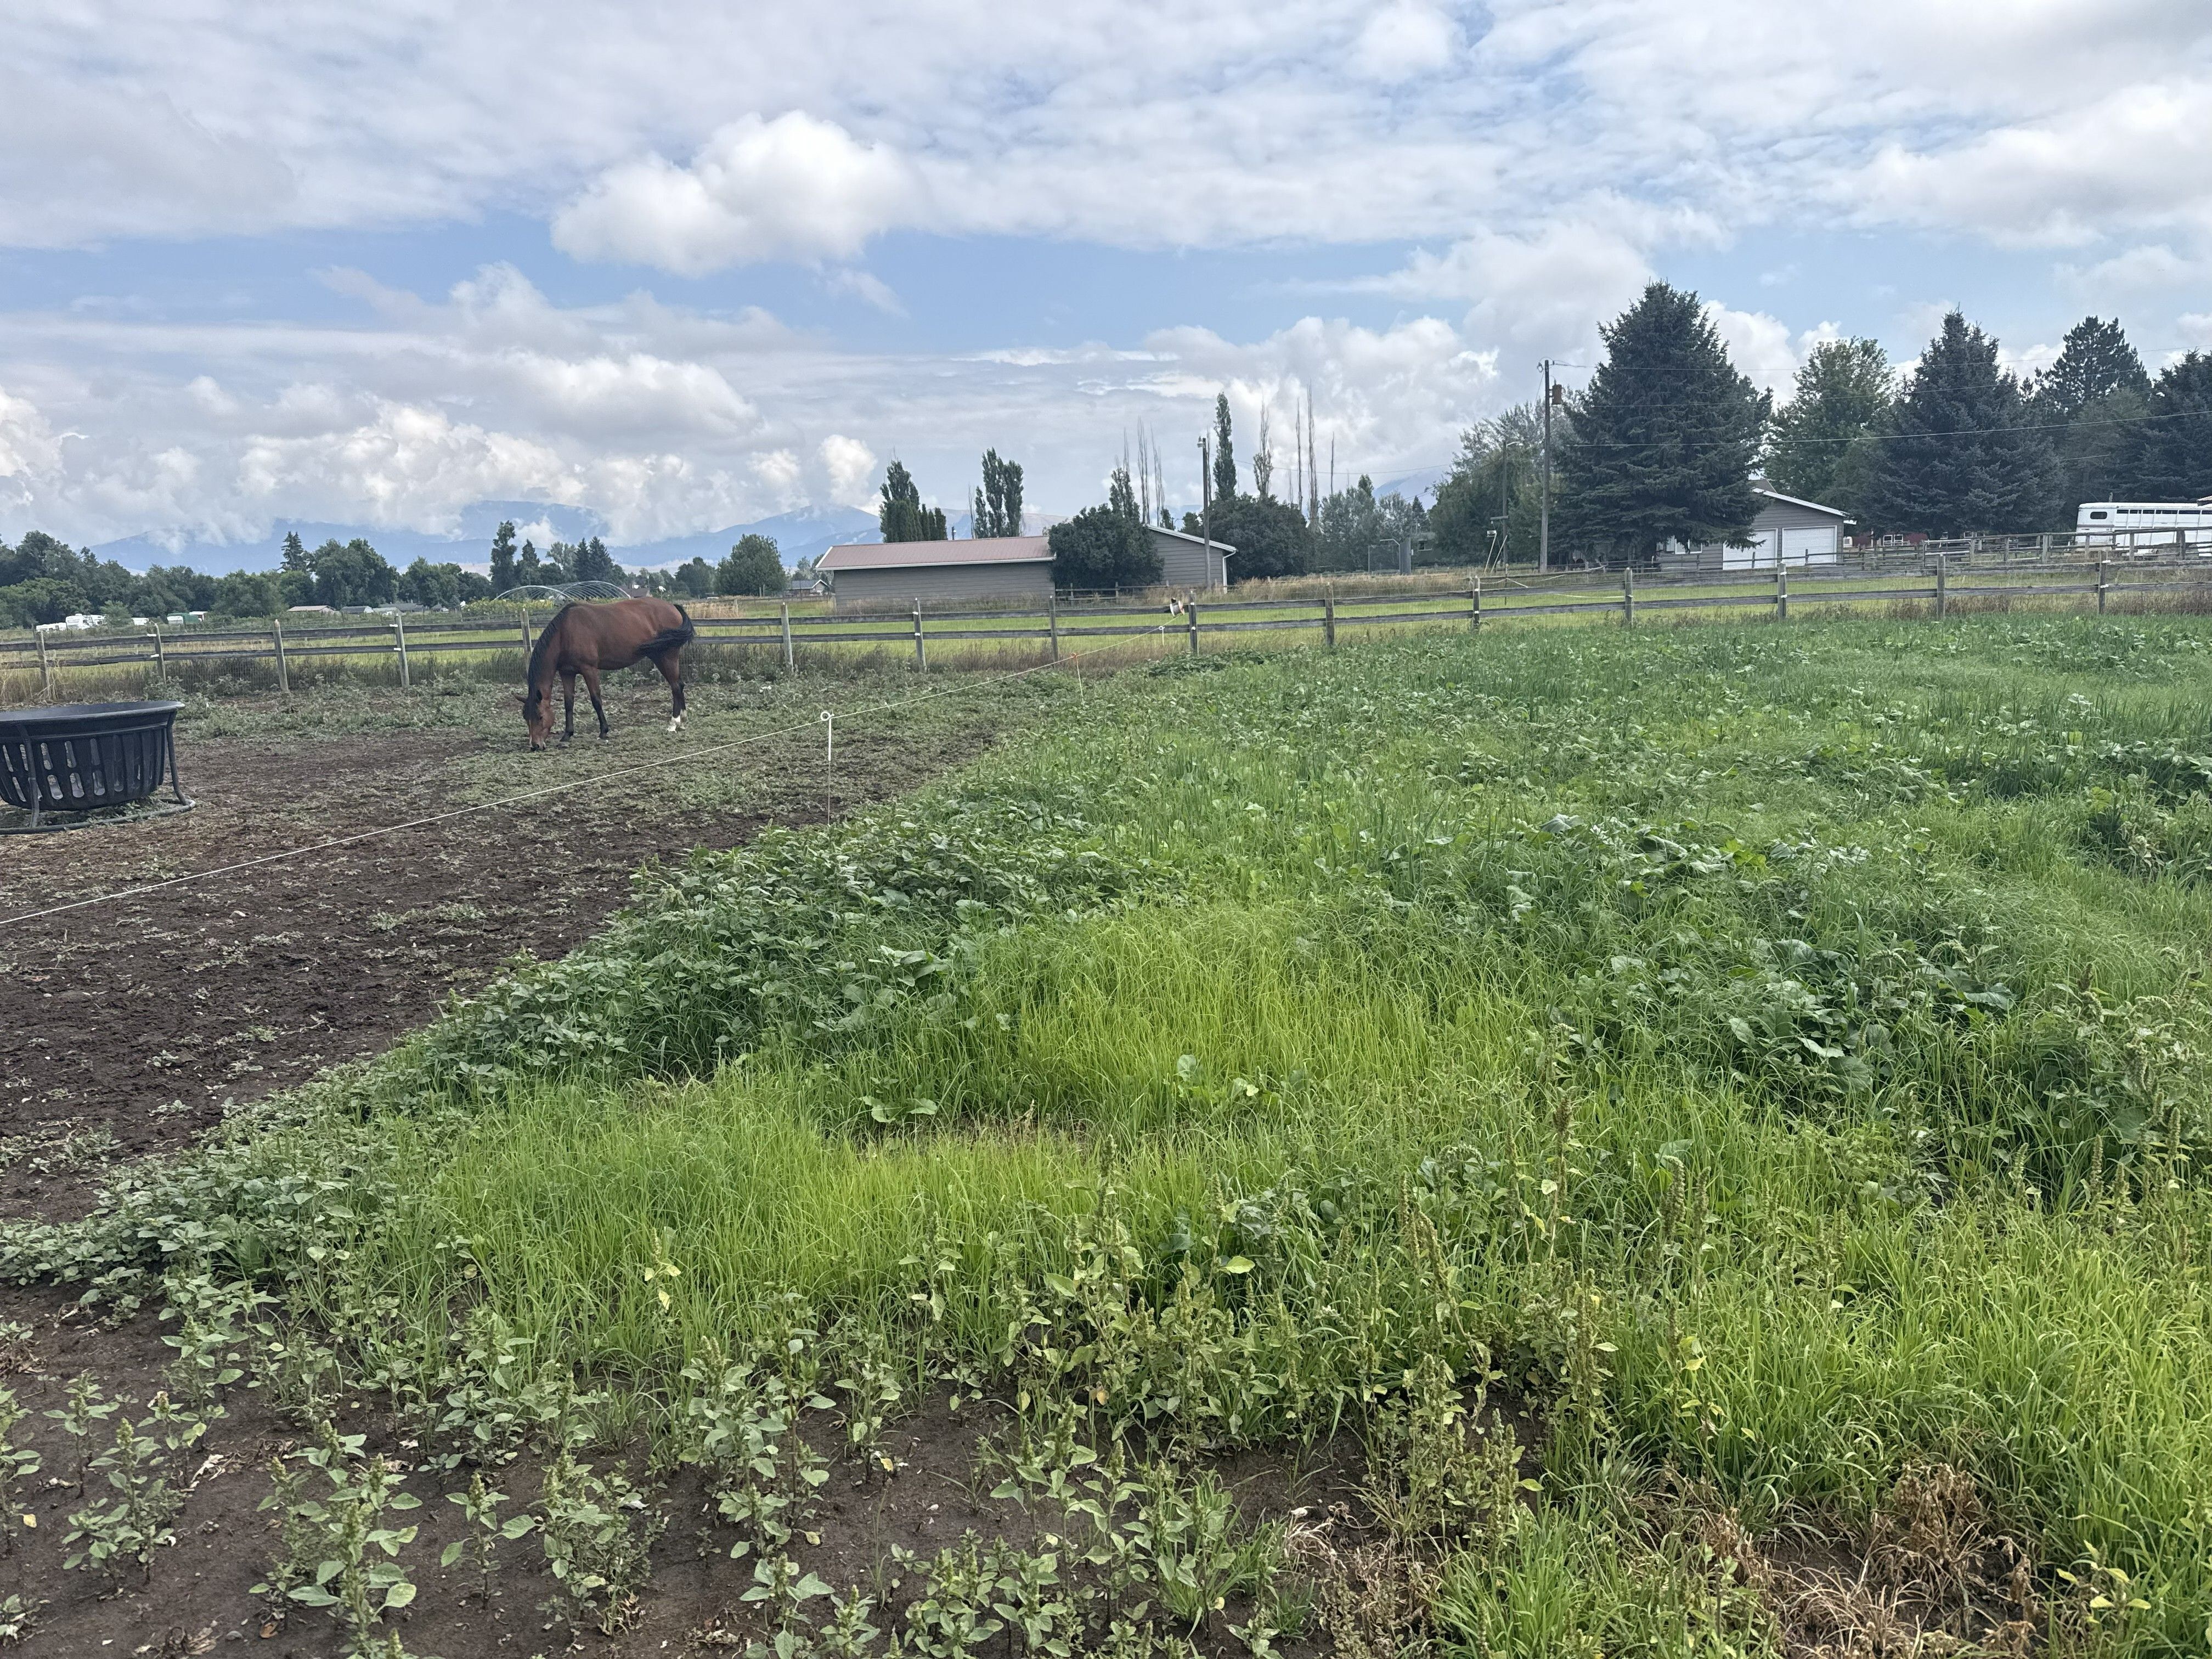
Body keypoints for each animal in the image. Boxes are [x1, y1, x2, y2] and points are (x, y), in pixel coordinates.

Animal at [520, 597, 695, 749]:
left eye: (540, 716)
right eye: (525, 717)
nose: (535, 745)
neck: (565, 633)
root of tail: (673, 607)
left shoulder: (589, 670)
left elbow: (596, 700)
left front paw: (603, 732)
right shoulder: (567, 673)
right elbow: (569, 703)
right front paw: (567, 735)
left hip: (667, 656)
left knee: (675, 687)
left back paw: (673, 724)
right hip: (658, 656)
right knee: (679, 685)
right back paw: (683, 720)